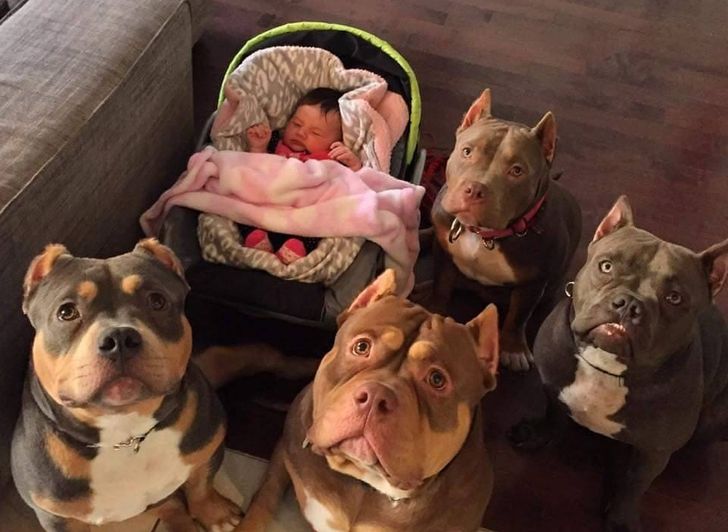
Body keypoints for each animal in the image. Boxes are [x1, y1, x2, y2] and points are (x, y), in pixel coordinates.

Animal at [11, 239, 241, 531]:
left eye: (157, 301)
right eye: (66, 312)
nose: (119, 338)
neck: (125, 432)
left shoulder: (207, 447)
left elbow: (201, 485)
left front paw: (216, 514)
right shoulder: (56, 514)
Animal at [231, 269, 499, 532]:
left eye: (436, 379)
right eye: (362, 347)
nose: (375, 397)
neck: (366, 480)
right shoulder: (285, 456)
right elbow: (266, 495)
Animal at [429, 88, 581, 371]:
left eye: (517, 171)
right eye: (467, 151)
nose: (474, 190)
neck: (485, 235)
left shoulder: (533, 282)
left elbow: (518, 315)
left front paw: (513, 348)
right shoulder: (444, 254)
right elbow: (441, 286)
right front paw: (435, 313)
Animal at [511, 196, 728, 531]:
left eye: (675, 297)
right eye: (606, 266)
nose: (629, 304)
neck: (607, 365)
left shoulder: (654, 451)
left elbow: (634, 484)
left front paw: (621, 518)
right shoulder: (553, 386)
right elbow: (554, 414)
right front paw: (538, 434)